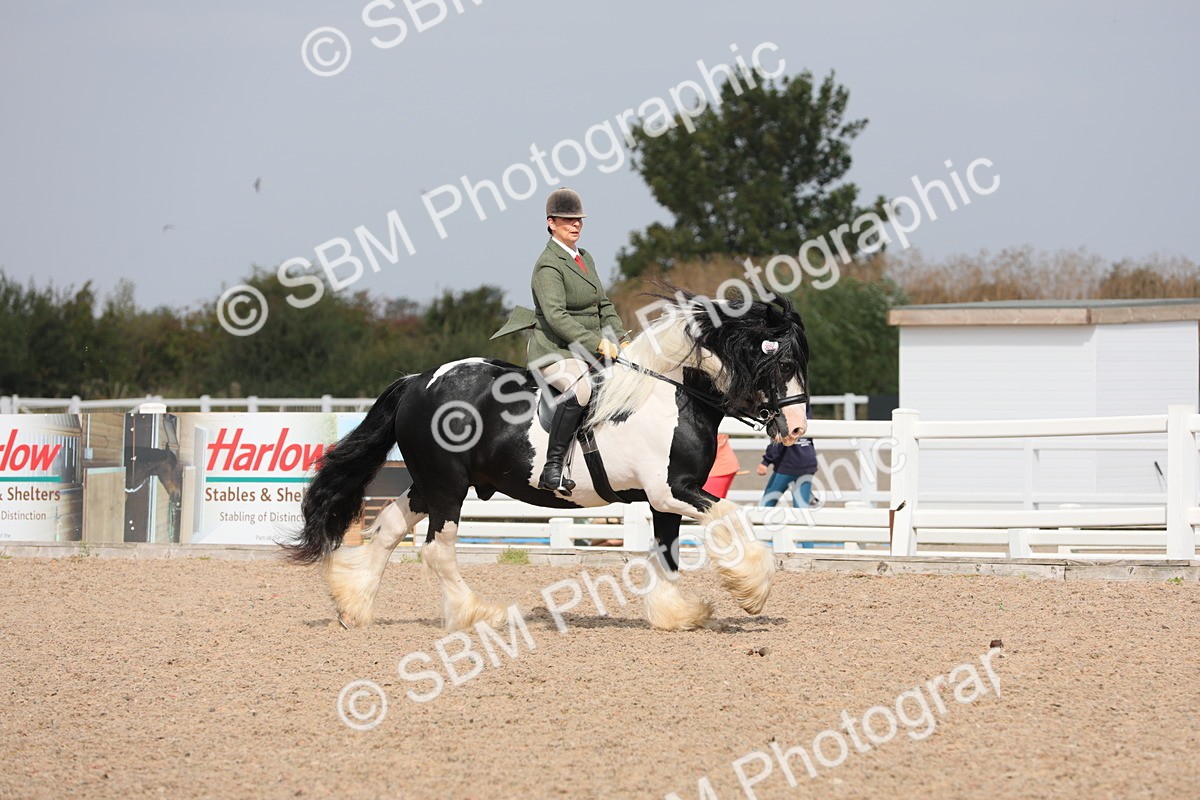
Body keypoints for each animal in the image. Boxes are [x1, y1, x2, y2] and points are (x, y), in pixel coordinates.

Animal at [286, 290, 810, 632]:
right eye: (784, 364)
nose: (797, 431)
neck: (672, 394)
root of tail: (418, 380)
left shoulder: (666, 499)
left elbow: (667, 552)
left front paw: (676, 614)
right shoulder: (672, 492)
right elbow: (733, 517)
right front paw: (753, 590)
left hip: (430, 484)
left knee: (390, 528)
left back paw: (353, 606)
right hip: (447, 486)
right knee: (437, 549)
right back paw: (479, 614)